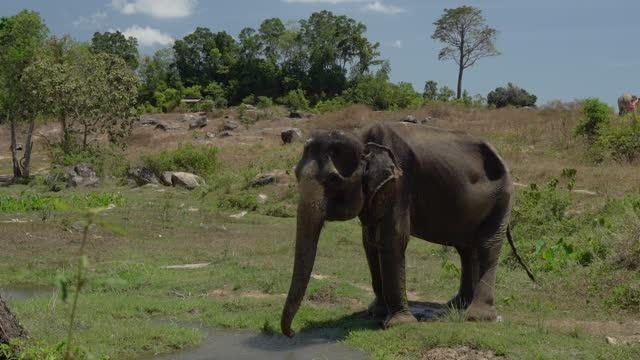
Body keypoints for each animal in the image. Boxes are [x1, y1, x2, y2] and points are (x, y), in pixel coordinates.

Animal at [280, 121, 536, 338]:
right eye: (296, 174)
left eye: (333, 180)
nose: (292, 333)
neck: (361, 135)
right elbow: (370, 242)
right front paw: (376, 312)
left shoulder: (400, 183)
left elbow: (392, 238)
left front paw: (397, 323)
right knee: (465, 248)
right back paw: (456, 305)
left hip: (502, 197)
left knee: (487, 246)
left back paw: (477, 316)